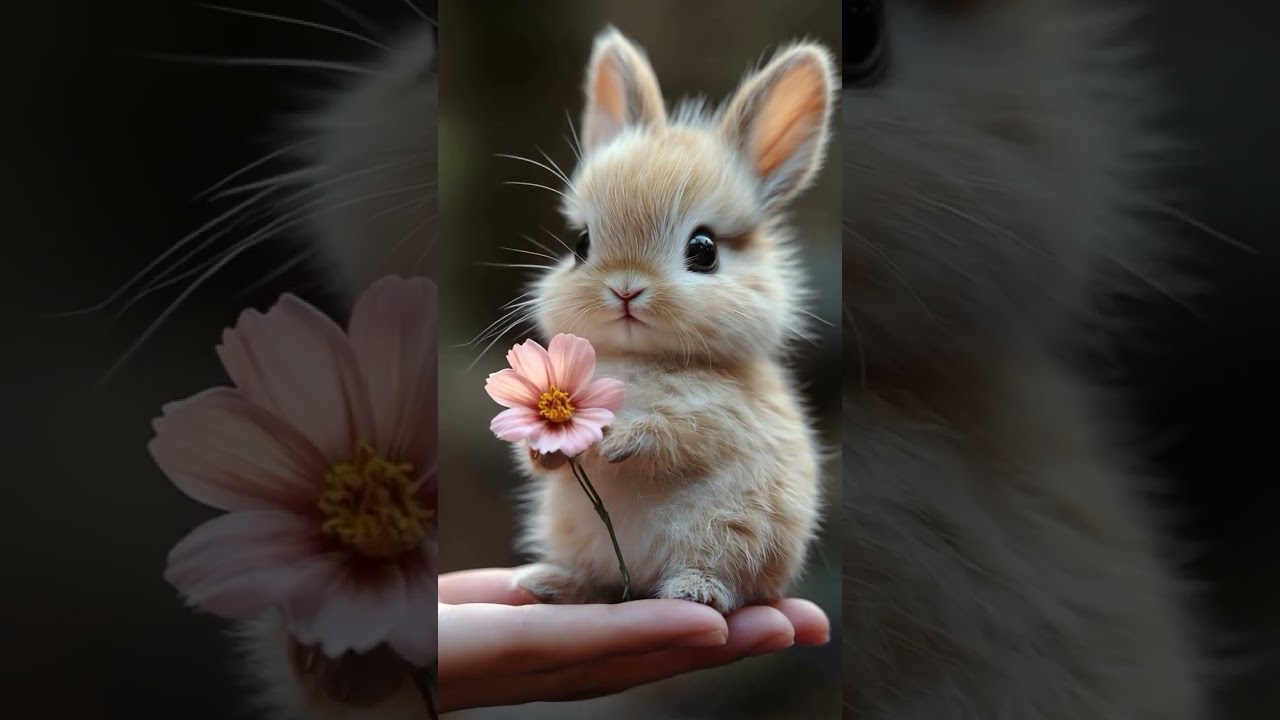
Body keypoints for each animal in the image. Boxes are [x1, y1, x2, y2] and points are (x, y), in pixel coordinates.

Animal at [503, 27, 834, 614]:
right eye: (580, 244)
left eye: (703, 250)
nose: (625, 288)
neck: (644, 357)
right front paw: (546, 453)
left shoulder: (720, 417)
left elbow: (673, 433)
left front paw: (614, 443)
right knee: (598, 585)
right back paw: (548, 583)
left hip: (735, 535)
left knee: (726, 579)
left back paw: (692, 591)